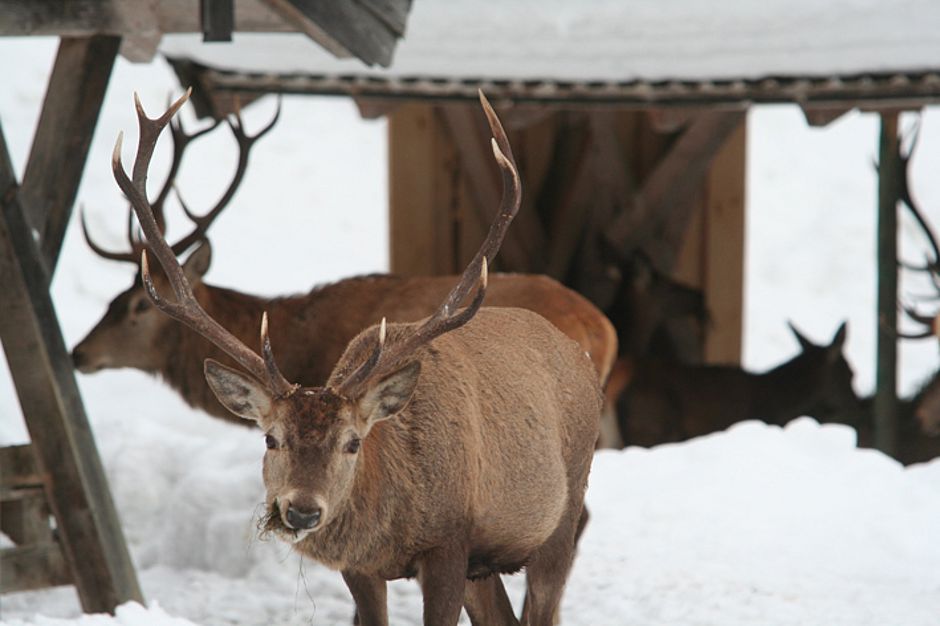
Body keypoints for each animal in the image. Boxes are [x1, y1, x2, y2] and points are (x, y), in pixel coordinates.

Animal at [113, 90, 602, 626]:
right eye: (270, 439)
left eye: (352, 443)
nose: (302, 510)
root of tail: (583, 348)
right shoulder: (361, 567)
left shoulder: (450, 544)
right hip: (487, 565)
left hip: (562, 513)